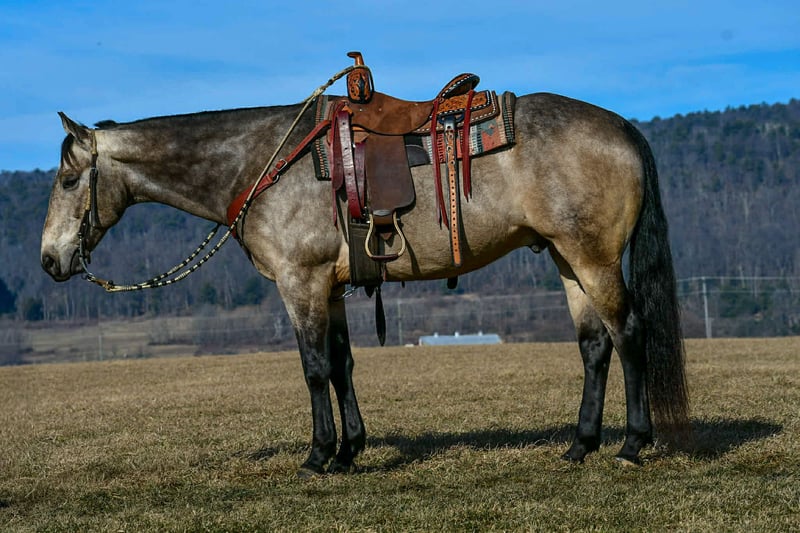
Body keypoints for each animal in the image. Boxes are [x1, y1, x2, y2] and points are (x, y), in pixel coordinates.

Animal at [41, 88, 689, 476]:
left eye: (69, 180)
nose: (49, 260)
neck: (261, 164)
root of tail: (623, 127)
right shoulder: (329, 288)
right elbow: (343, 365)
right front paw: (351, 450)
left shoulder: (299, 283)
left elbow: (314, 368)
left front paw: (317, 455)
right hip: (566, 258)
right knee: (594, 345)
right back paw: (580, 445)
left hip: (594, 258)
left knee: (629, 334)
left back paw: (633, 444)